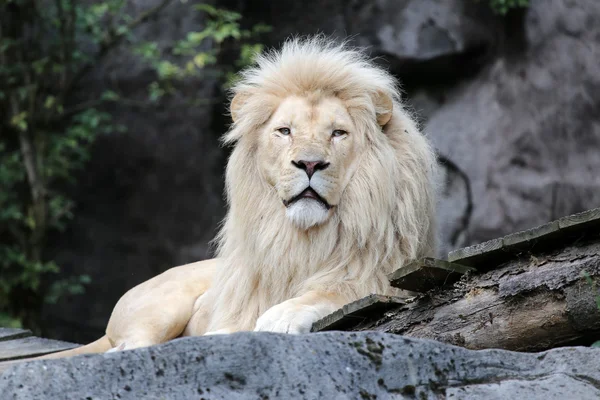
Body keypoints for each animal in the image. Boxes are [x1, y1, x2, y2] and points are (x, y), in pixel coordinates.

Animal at [35, 36, 436, 358]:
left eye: (338, 133)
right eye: (284, 131)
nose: (309, 163)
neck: (303, 238)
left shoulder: (380, 274)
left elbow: (332, 291)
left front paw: (281, 315)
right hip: (162, 305)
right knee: (128, 346)